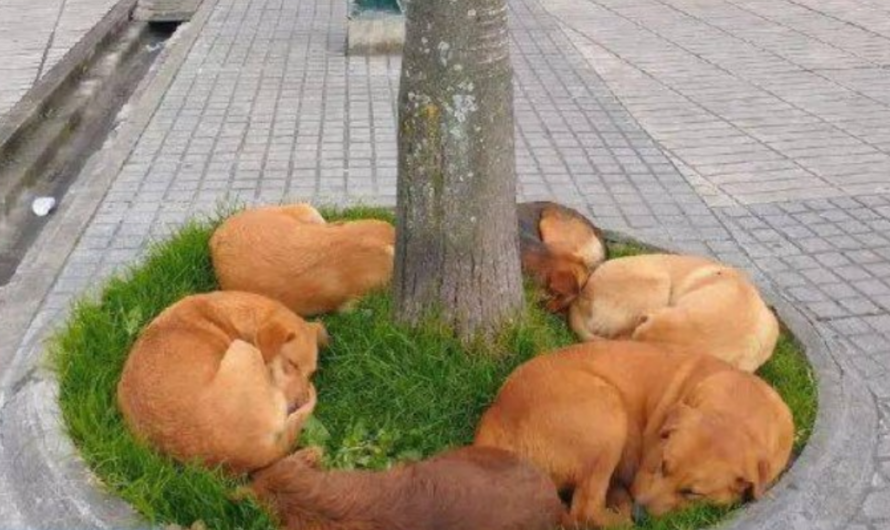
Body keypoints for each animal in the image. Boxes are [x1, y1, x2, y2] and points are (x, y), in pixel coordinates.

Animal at [476, 340, 796, 524]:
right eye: (663, 466)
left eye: (692, 493)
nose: (640, 514)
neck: (743, 405)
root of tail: (495, 415)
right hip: (609, 411)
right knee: (584, 512)